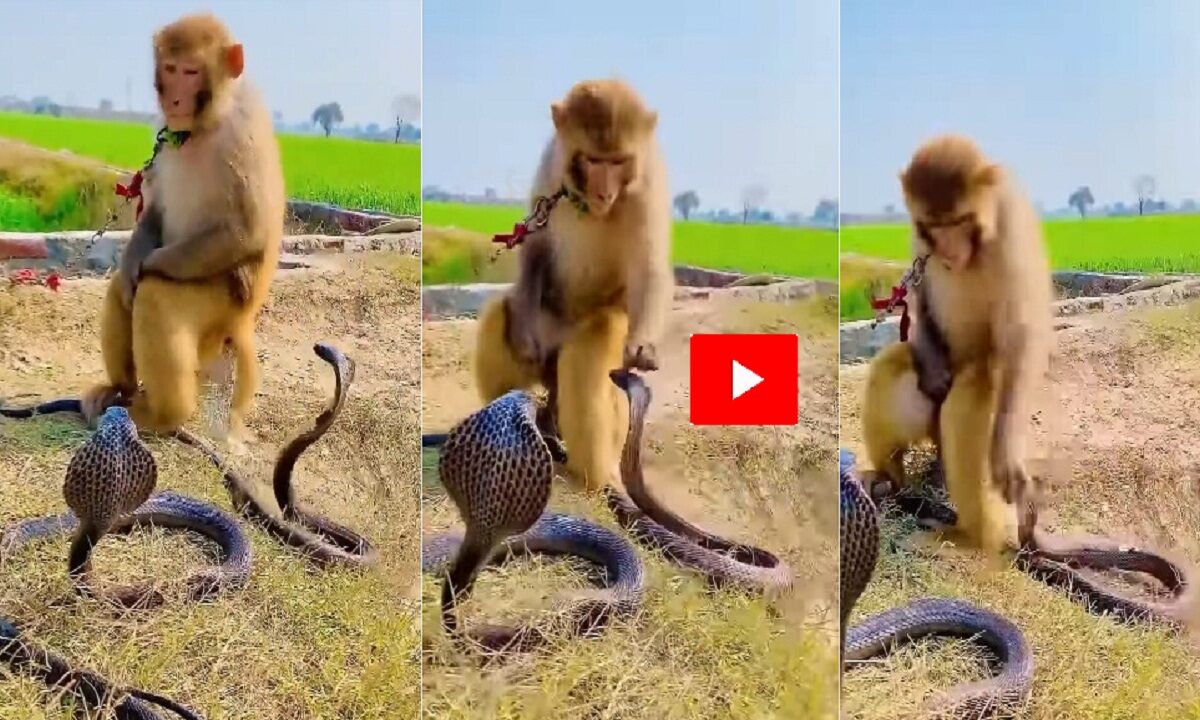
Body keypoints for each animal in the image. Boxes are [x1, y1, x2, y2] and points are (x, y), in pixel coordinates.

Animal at [80, 12, 285, 436]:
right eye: (171, 69)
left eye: (191, 72)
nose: (174, 100)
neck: (204, 124)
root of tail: (241, 322)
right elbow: (156, 211)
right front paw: (133, 262)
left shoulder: (242, 130)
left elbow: (245, 231)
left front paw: (148, 265)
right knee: (122, 291)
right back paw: (119, 390)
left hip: (221, 302)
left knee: (156, 295)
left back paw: (163, 415)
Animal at [471, 78, 673, 492]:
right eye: (593, 160)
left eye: (617, 161)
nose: (604, 193)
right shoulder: (552, 163)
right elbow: (535, 245)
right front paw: (522, 334)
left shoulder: (648, 185)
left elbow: (649, 269)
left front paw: (644, 347)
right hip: (546, 333)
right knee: (502, 312)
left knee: (595, 341)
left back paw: (593, 477)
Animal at [860, 134, 1053, 554]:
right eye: (935, 226)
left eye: (959, 221)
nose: (948, 252)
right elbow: (919, 292)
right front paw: (933, 373)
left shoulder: (1011, 222)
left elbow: (1022, 333)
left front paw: (1007, 455)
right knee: (893, 365)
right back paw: (888, 480)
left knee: (975, 384)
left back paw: (969, 535)